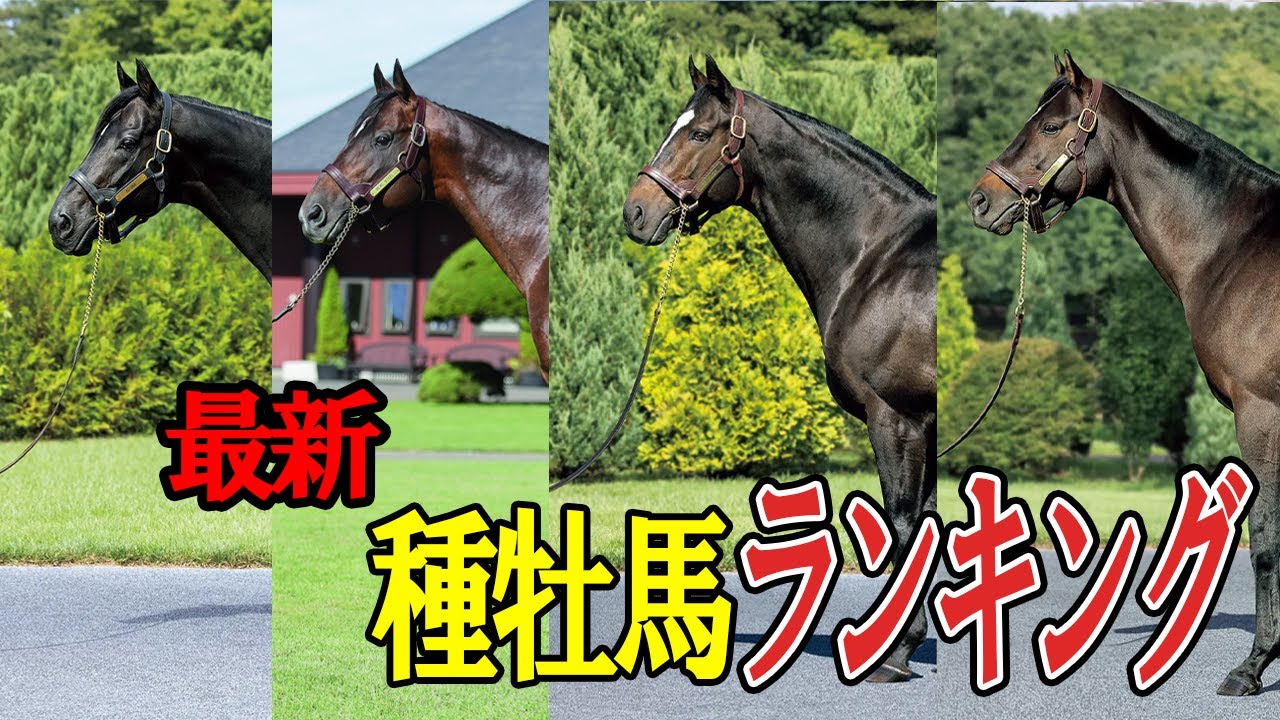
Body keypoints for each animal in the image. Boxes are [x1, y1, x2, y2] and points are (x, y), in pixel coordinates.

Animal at [624, 55, 938, 683]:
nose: (636, 212)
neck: (880, 262)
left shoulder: (897, 418)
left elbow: (904, 522)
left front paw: (894, 651)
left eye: (700, 134)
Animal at [969, 51, 1280, 696]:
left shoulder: (1262, 414)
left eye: (1051, 126)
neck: (1234, 246)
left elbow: (1264, 537)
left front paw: (1253, 666)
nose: (980, 201)